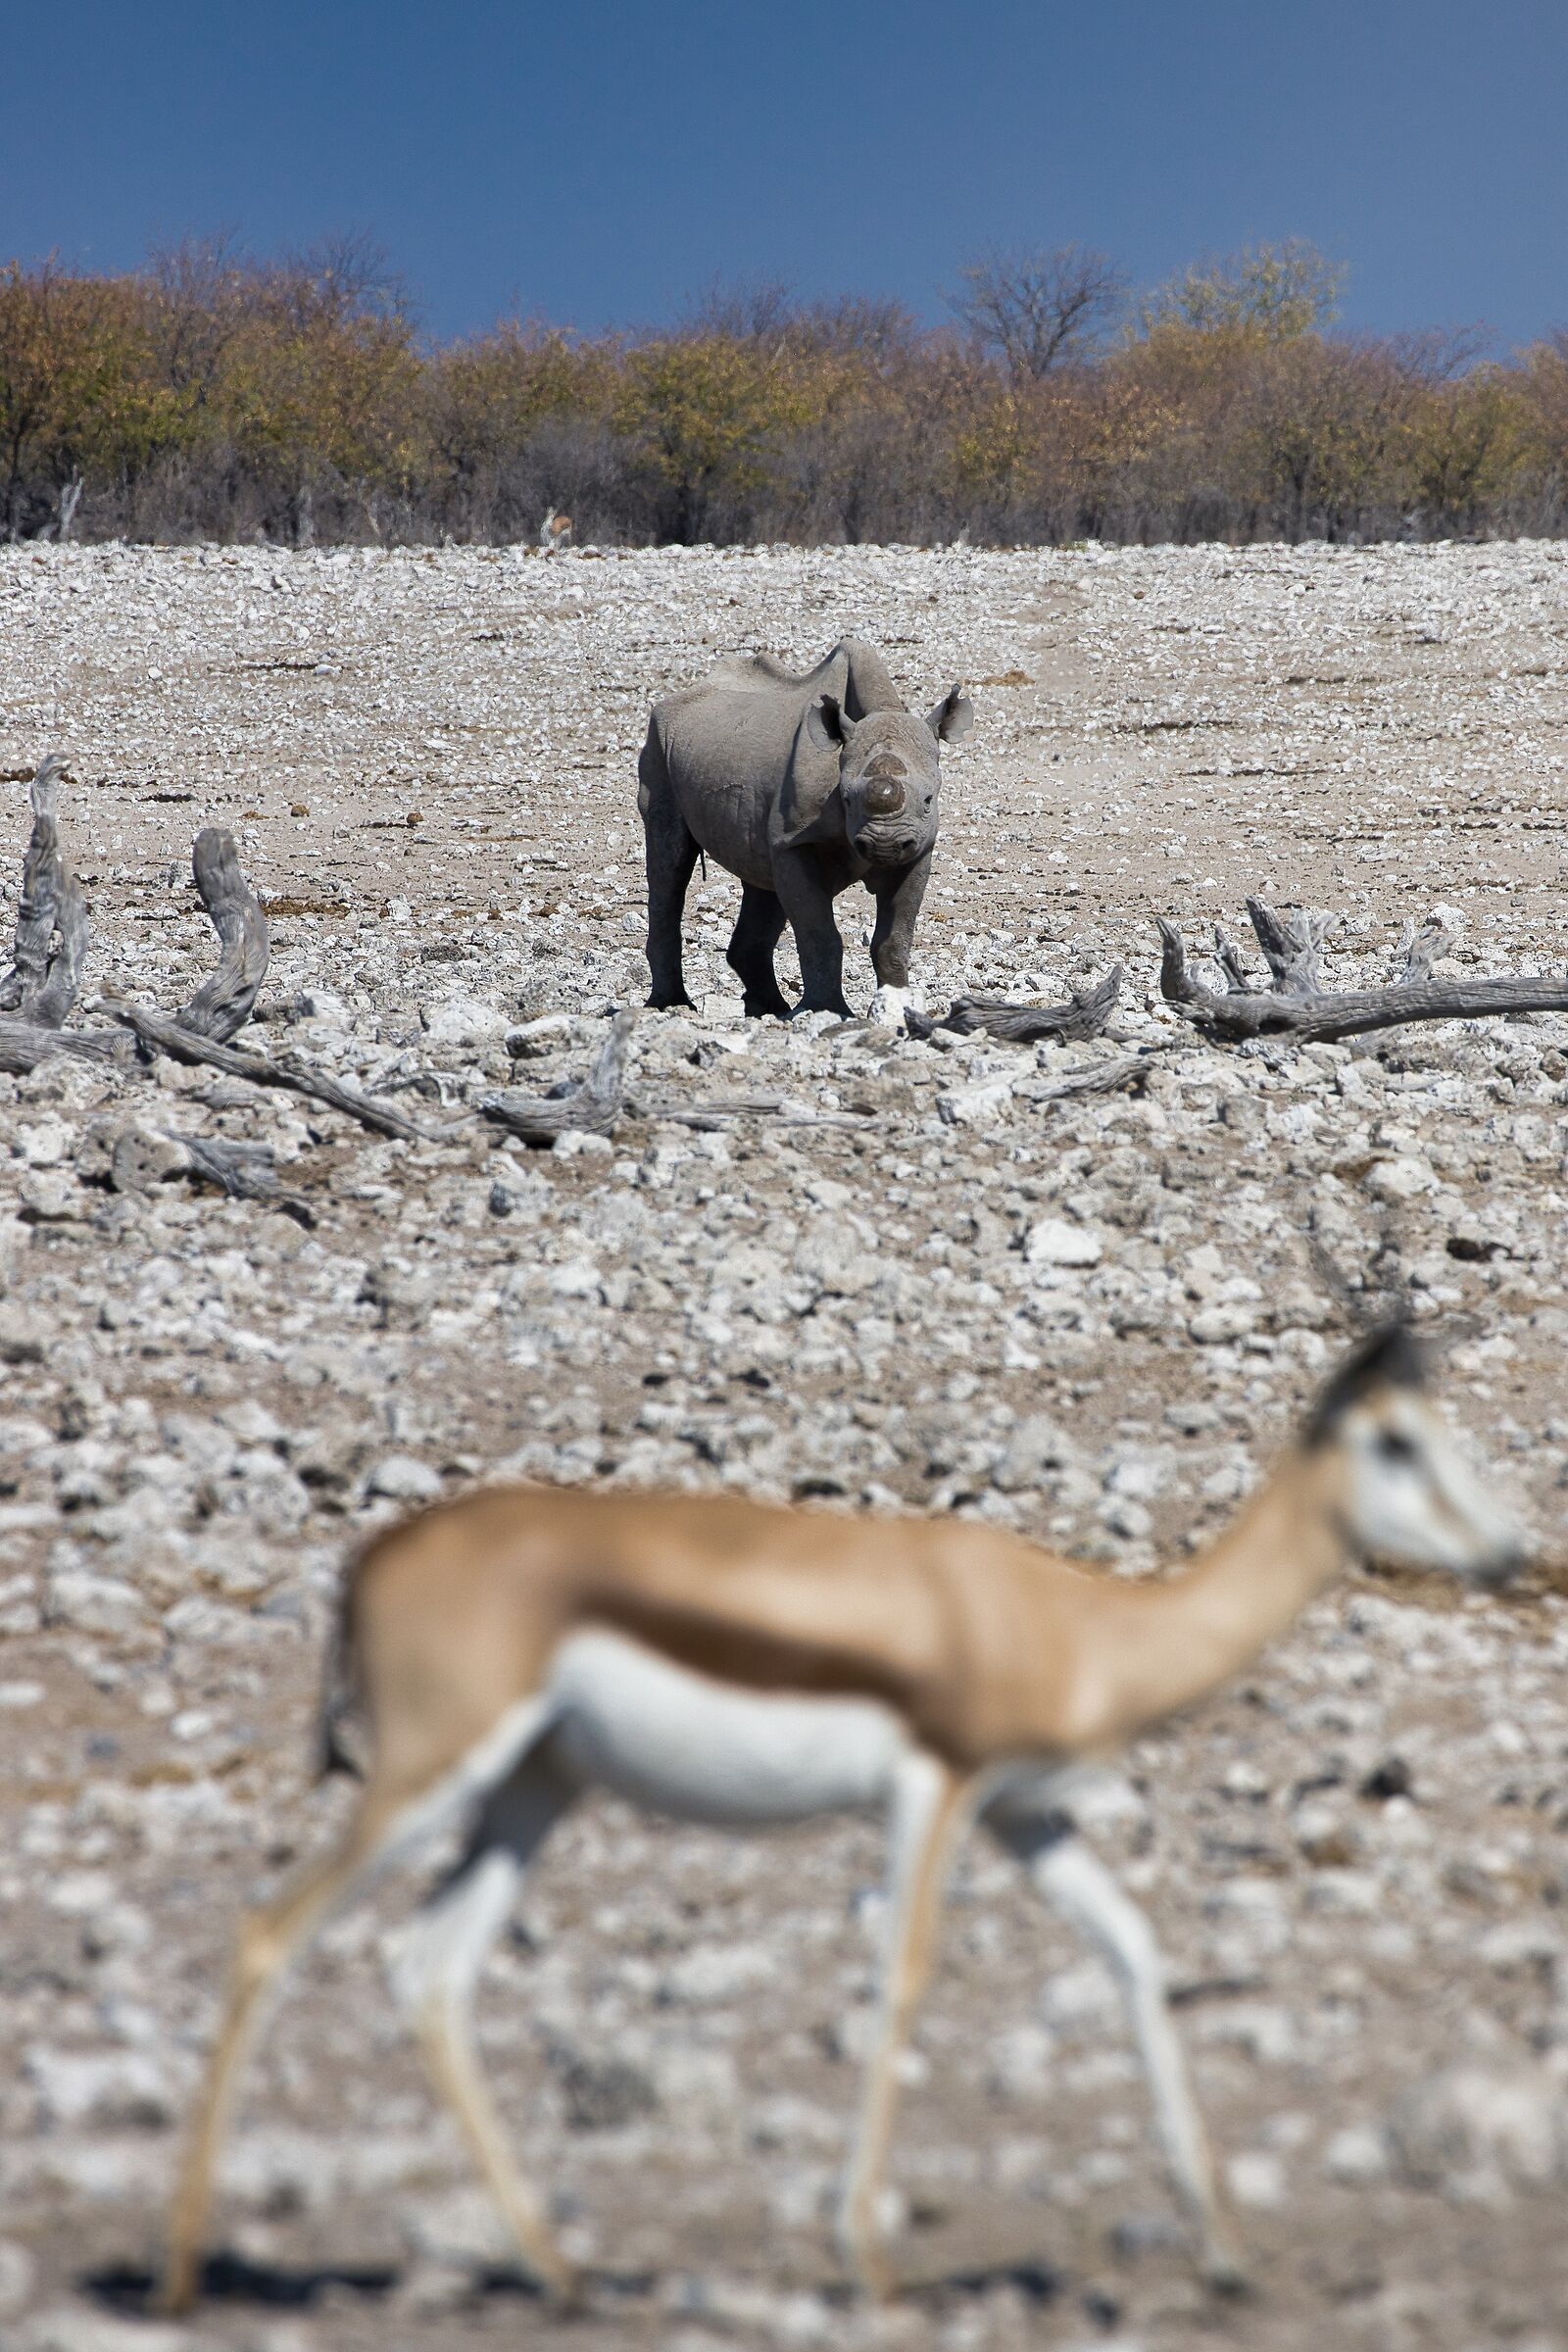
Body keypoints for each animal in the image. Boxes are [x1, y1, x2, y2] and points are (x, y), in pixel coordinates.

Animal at [637, 638, 973, 1020]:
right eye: (845, 798)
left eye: (929, 799)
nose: (883, 846)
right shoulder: (793, 842)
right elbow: (818, 934)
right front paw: (825, 1011)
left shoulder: (917, 849)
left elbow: (894, 939)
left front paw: (895, 1006)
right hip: (658, 744)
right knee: (671, 863)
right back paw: (672, 1005)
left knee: (759, 878)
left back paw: (768, 1009)